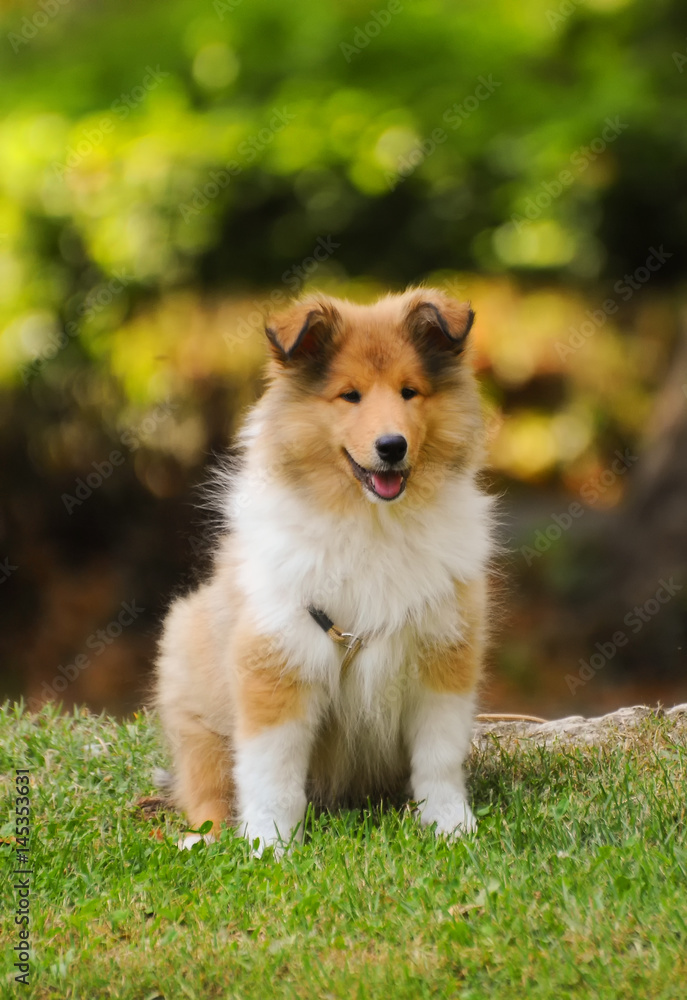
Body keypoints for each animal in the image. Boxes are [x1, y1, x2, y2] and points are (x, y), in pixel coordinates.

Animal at [154, 288, 492, 852]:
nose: (392, 447)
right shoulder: (277, 660)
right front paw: (268, 846)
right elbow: (271, 773)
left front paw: (449, 825)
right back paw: (204, 838)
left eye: (410, 392)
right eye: (349, 396)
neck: (372, 520)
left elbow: (439, 758)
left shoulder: (442, 654)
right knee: (207, 790)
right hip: (193, 692)